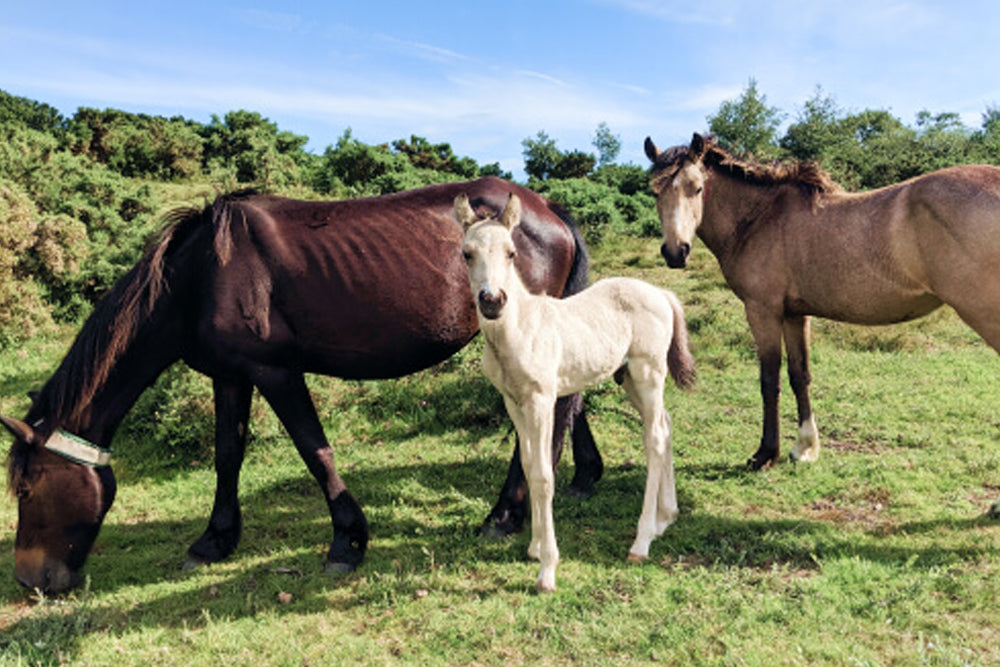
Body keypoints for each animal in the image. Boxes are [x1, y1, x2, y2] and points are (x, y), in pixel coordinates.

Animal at [1, 176, 606, 593]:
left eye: (26, 491)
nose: (31, 581)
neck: (198, 276)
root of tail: (546, 209)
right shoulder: (230, 375)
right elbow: (227, 455)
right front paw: (215, 538)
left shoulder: (276, 373)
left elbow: (315, 452)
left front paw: (348, 540)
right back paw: (576, 479)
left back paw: (505, 514)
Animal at [455, 192, 695, 591]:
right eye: (466, 253)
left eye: (511, 252)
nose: (492, 300)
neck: (520, 328)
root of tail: (661, 293)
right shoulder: (513, 402)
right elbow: (527, 465)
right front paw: (535, 546)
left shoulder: (541, 400)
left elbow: (542, 475)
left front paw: (547, 569)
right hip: (628, 377)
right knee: (666, 422)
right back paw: (666, 517)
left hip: (648, 372)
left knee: (655, 438)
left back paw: (642, 540)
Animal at [644, 132, 1000, 516]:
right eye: (655, 191)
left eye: (696, 188)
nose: (675, 252)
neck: (759, 219)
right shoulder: (794, 315)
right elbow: (800, 376)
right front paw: (805, 448)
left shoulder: (762, 311)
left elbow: (769, 380)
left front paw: (764, 455)